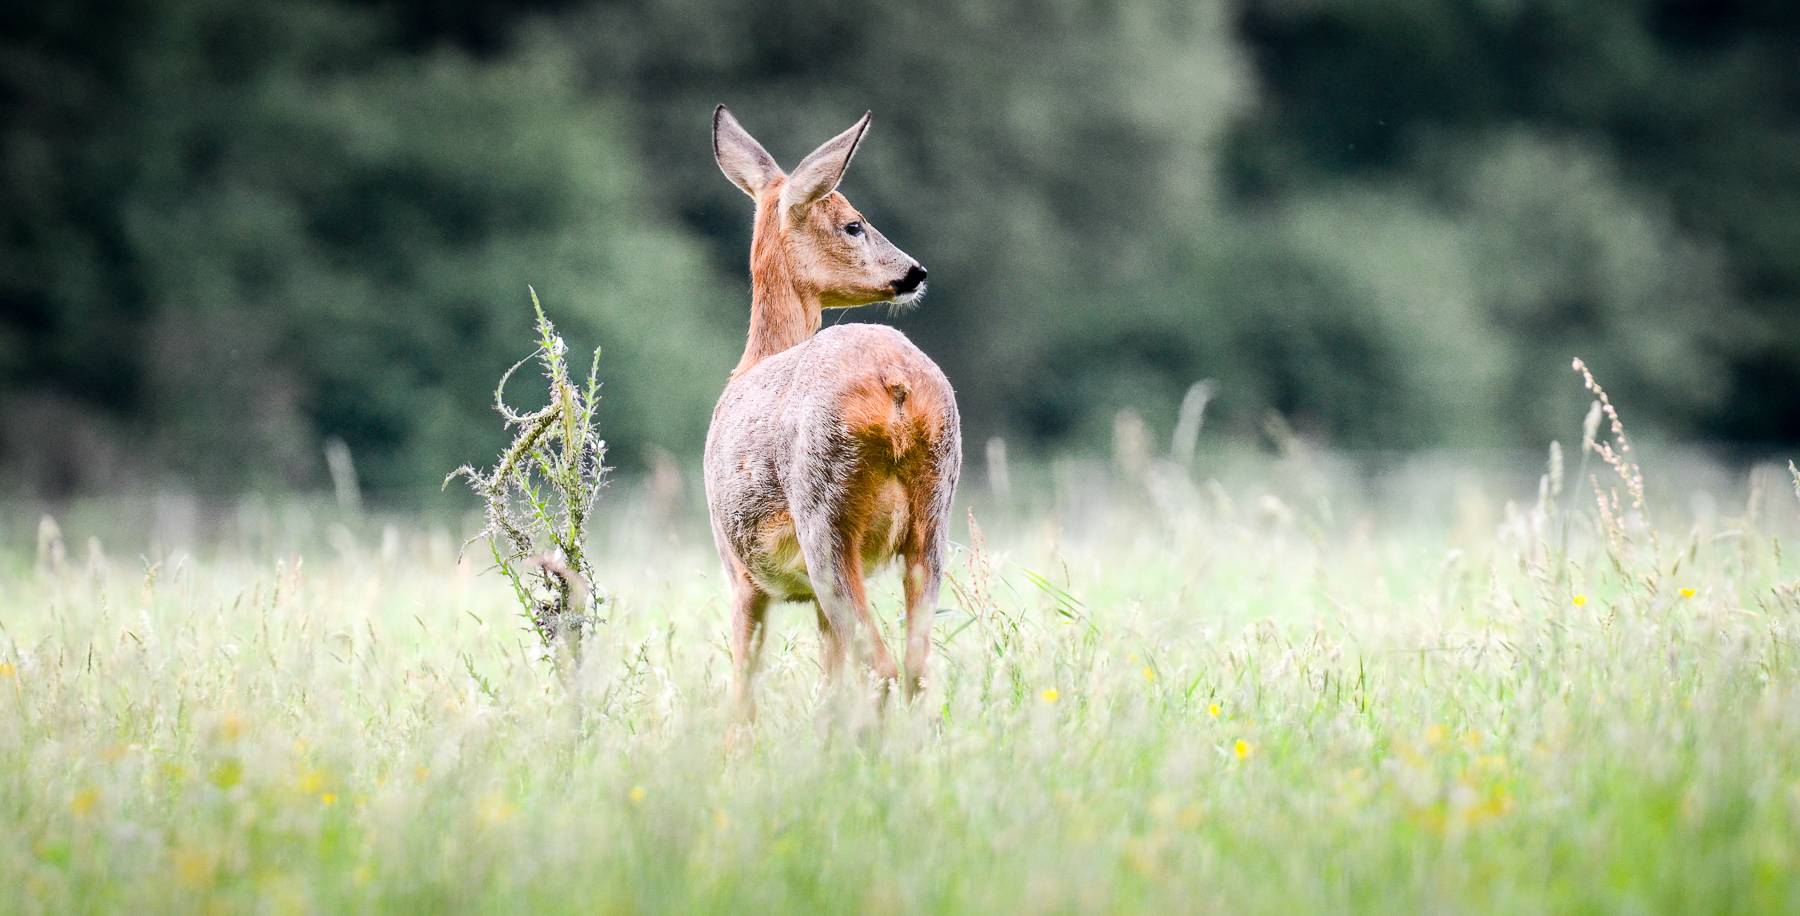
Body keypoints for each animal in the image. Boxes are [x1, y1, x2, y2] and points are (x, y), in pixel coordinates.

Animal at [702, 107, 964, 716]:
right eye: (853, 224)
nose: (915, 272)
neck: (752, 361)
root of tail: (894, 383)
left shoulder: (739, 574)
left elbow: (743, 694)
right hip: (934, 515)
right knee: (915, 668)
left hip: (824, 517)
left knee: (883, 669)